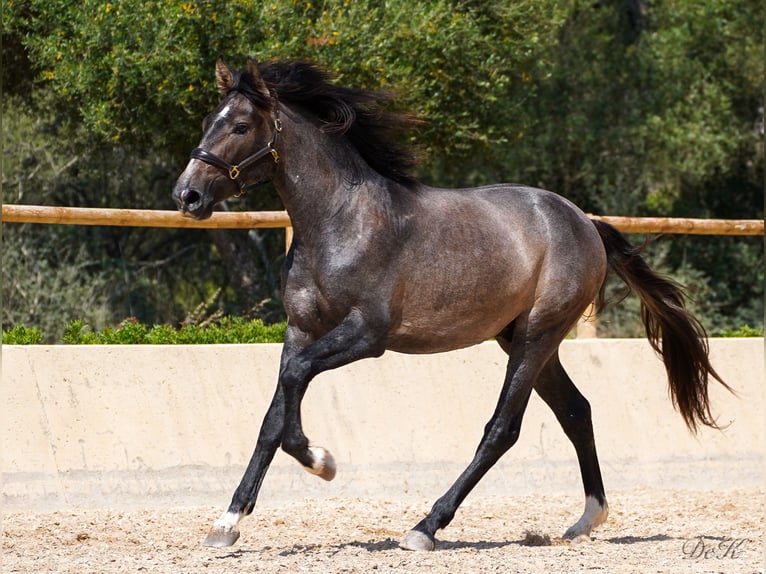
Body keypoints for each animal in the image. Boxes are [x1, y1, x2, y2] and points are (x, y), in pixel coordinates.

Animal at [174, 58, 732, 552]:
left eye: (240, 125)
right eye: (206, 121)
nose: (187, 196)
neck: (339, 221)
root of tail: (584, 222)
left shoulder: (366, 335)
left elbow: (293, 387)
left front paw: (321, 460)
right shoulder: (301, 331)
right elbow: (272, 418)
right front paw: (226, 524)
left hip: (537, 336)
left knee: (502, 429)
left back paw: (425, 528)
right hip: (522, 337)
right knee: (576, 411)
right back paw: (585, 521)